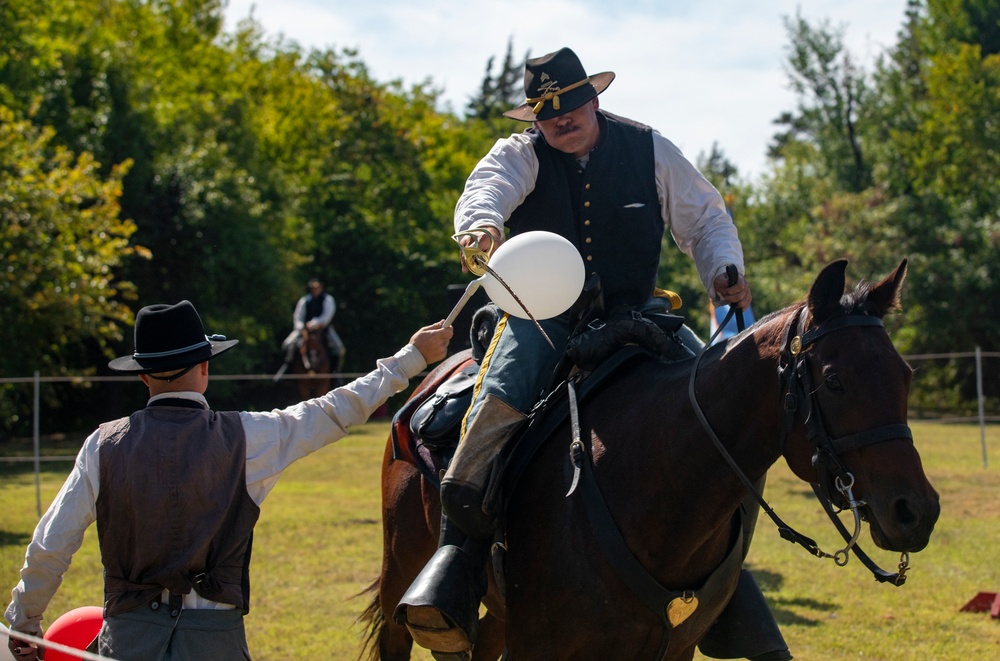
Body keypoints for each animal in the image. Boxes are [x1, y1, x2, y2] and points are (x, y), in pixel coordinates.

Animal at [360, 260, 936, 660]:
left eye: (905, 375)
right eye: (835, 381)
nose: (918, 511)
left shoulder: (671, 649)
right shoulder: (541, 645)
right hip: (399, 573)